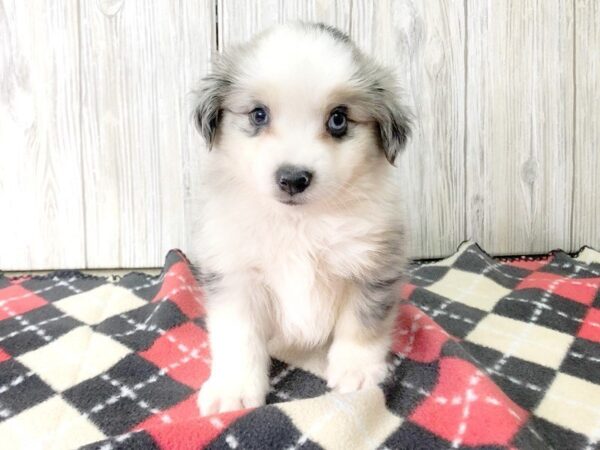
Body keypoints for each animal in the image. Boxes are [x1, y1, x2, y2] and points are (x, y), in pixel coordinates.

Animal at [192, 21, 412, 414]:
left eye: (338, 119)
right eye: (258, 114)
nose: (293, 178)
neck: (299, 224)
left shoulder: (371, 265)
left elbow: (361, 324)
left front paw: (356, 370)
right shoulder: (234, 274)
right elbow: (237, 336)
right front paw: (233, 389)